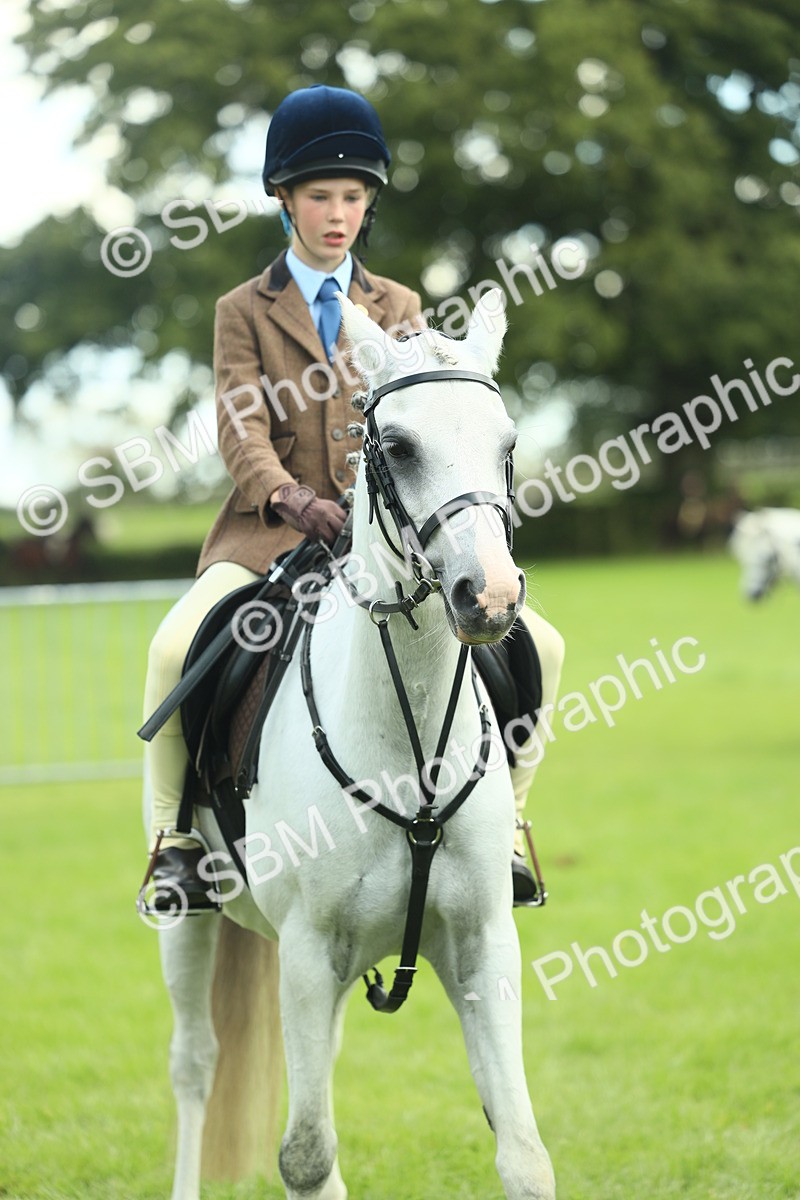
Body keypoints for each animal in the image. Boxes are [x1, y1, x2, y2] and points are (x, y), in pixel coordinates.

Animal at [147, 288, 564, 1200]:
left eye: (508, 442)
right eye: (398, 447)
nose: (490, 596)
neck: (409, 749)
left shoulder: (482, 944)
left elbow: (524, 1153)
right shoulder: (307, 953)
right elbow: (306, 1155)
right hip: (194, 923)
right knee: (194, 1065)